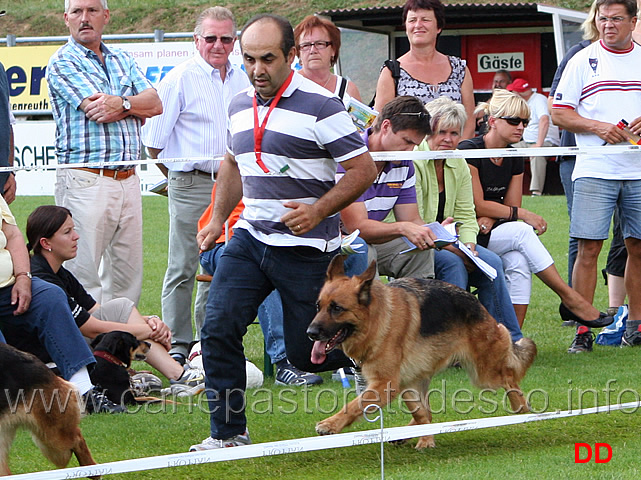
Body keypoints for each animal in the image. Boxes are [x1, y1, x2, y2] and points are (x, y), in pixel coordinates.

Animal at [304, 256, 536, 448]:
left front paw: (330, 424)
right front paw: (426, 440)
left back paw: (521, 407)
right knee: (427, 413)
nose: (310, 333)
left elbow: (353, 405)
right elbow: (420, 413)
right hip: (417, 378)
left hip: (484, 373)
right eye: (318, 306)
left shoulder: (385, 384)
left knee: (509, 378)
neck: (376, 319)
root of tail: (477, 303)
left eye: (336, 308)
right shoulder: (398, 383)